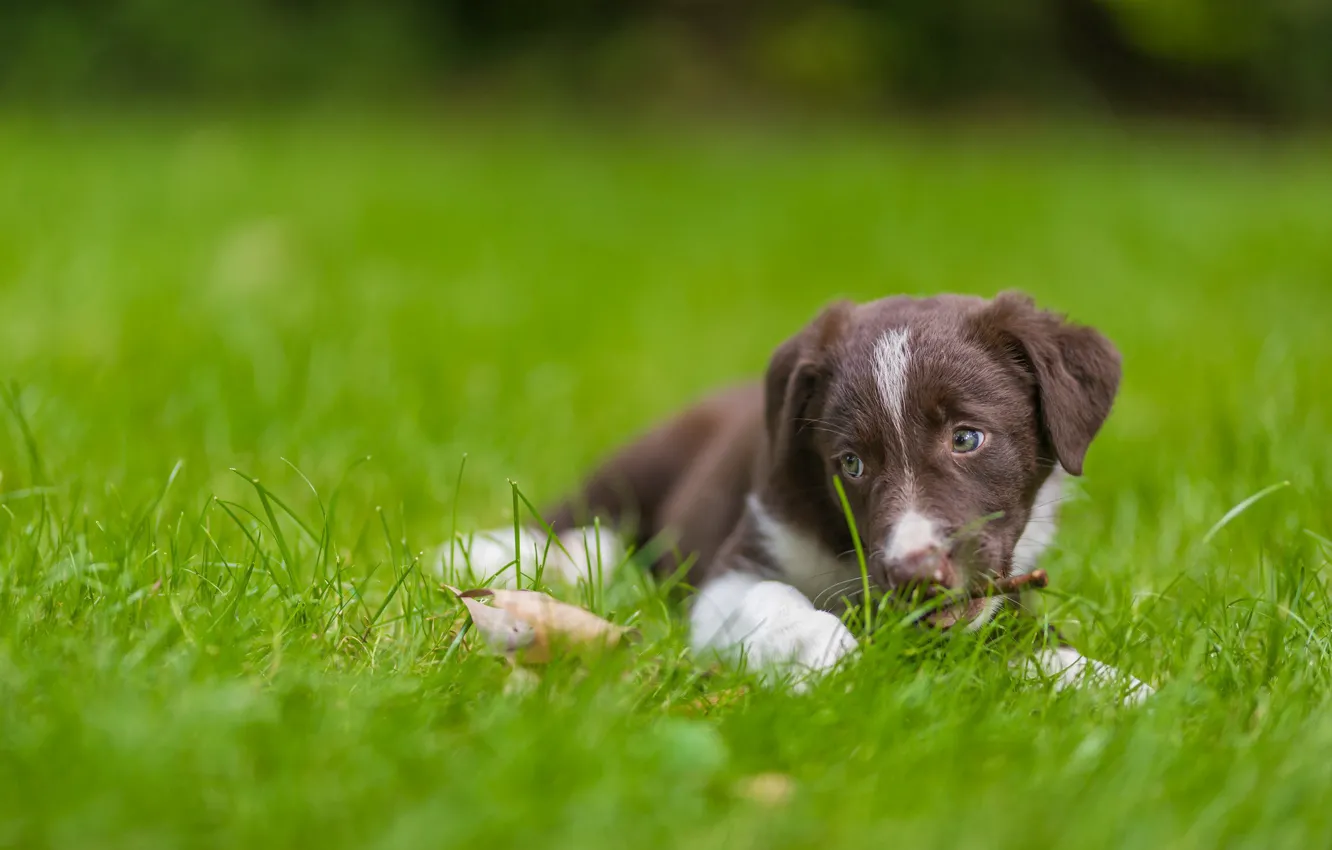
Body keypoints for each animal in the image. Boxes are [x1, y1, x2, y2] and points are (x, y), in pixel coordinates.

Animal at [452, 293, 1150, 703]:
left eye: (967, 438)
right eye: (851, 463)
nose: (914, 574)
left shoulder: (999, 587)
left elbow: (1025, 637)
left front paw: (1113, 688)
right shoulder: (737, 565)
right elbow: (769, 599)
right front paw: (824, 652)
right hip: (642, 461)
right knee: (582, 517)